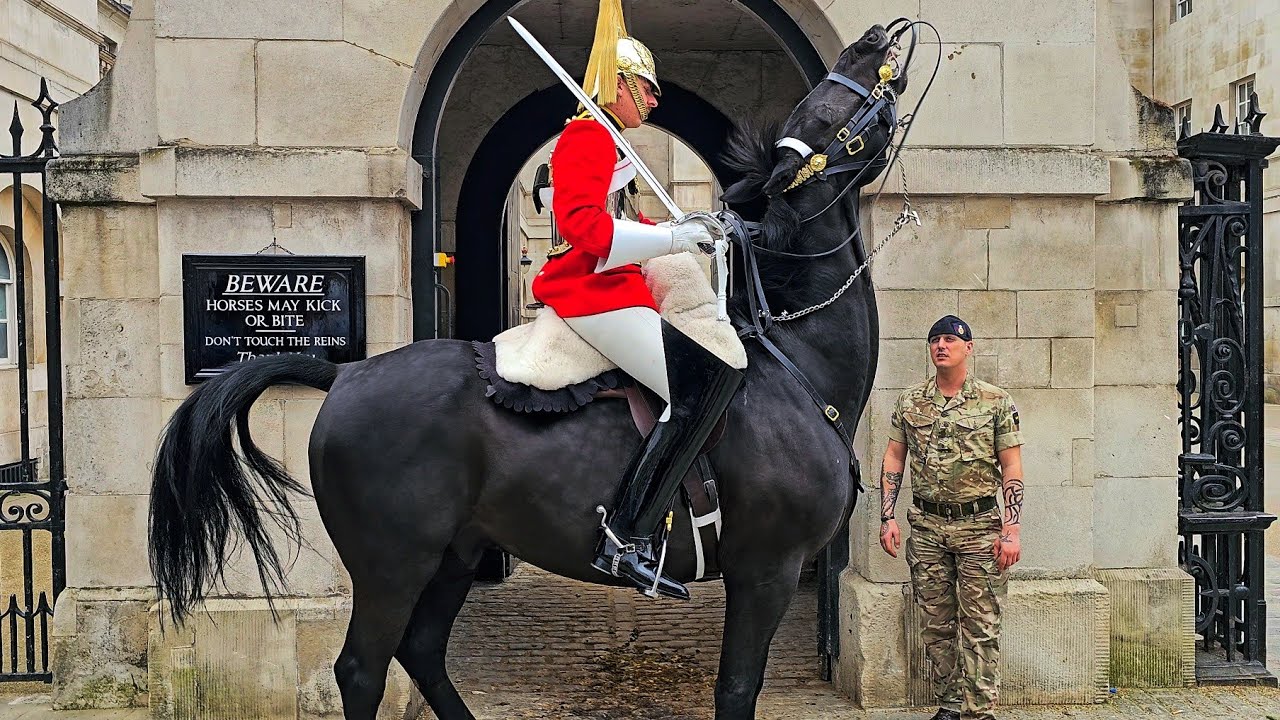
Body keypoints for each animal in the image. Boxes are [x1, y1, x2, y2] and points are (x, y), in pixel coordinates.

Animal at [149, 22, 911, 717]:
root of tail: (348, 376)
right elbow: (736, 690)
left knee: (421, 649)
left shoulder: (765, 573)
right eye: (823, 105)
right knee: (362, 670)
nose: (880, 35)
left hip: (455, 551)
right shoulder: (766, 571)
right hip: (393, 562)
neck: (799, 366)